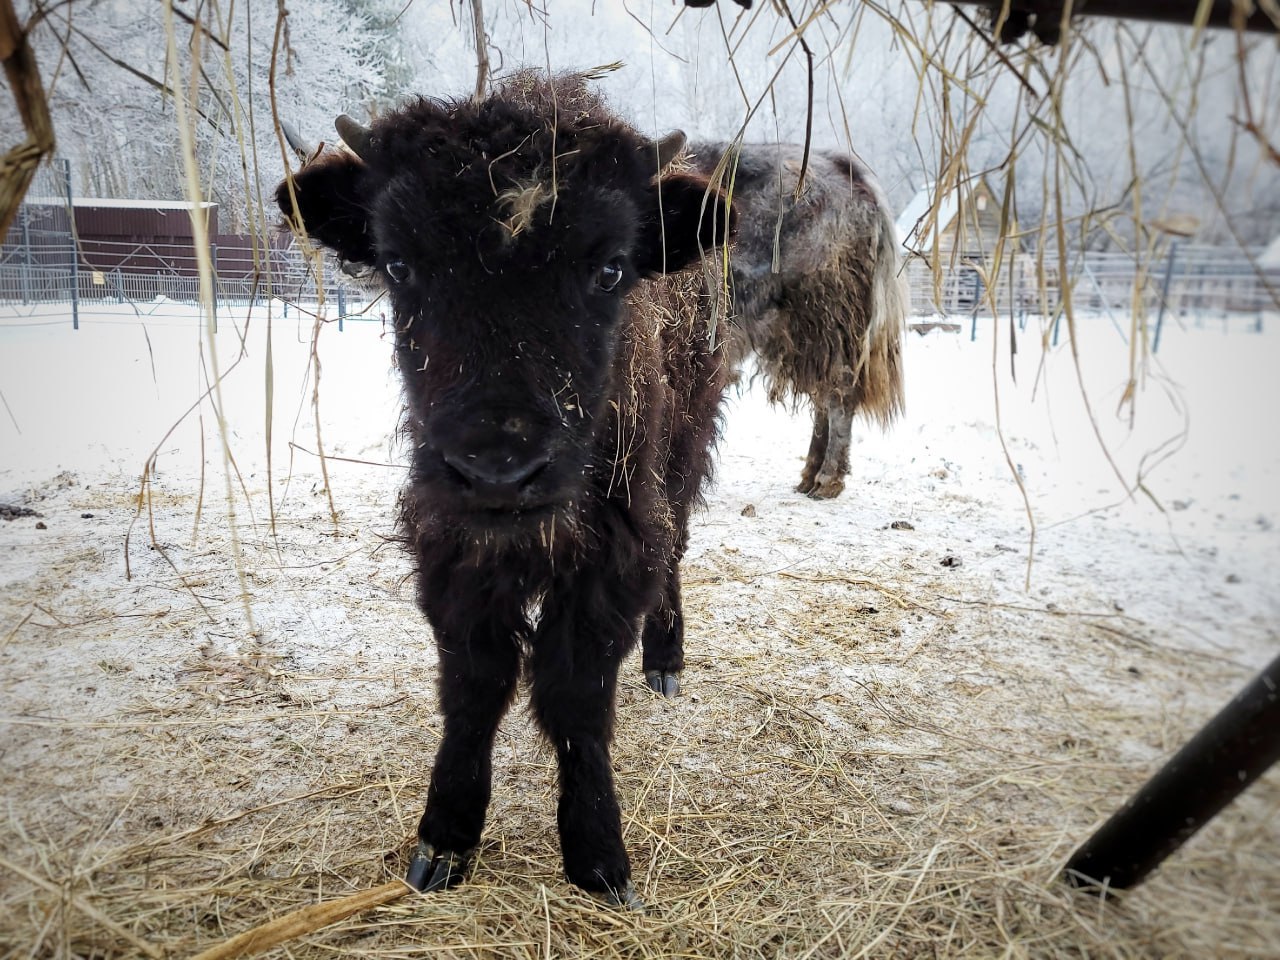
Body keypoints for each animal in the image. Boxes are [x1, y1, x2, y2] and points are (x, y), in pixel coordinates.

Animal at [275, 75, 737, 911]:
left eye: (610, 269)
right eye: (400, 265)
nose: (499, 469)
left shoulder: (613, 548)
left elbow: (575, 693)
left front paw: (600, 860)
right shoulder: (452, 546)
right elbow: (476, 684)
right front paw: (443, 845)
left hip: (684, 453)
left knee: (677, 546)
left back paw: (665, 662)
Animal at [696, 146, 906, 504]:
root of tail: (843, 167)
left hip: (827, 321)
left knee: (838, 395)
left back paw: (827, 480)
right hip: (804, 334)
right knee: (824, 396)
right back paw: (809, 476)